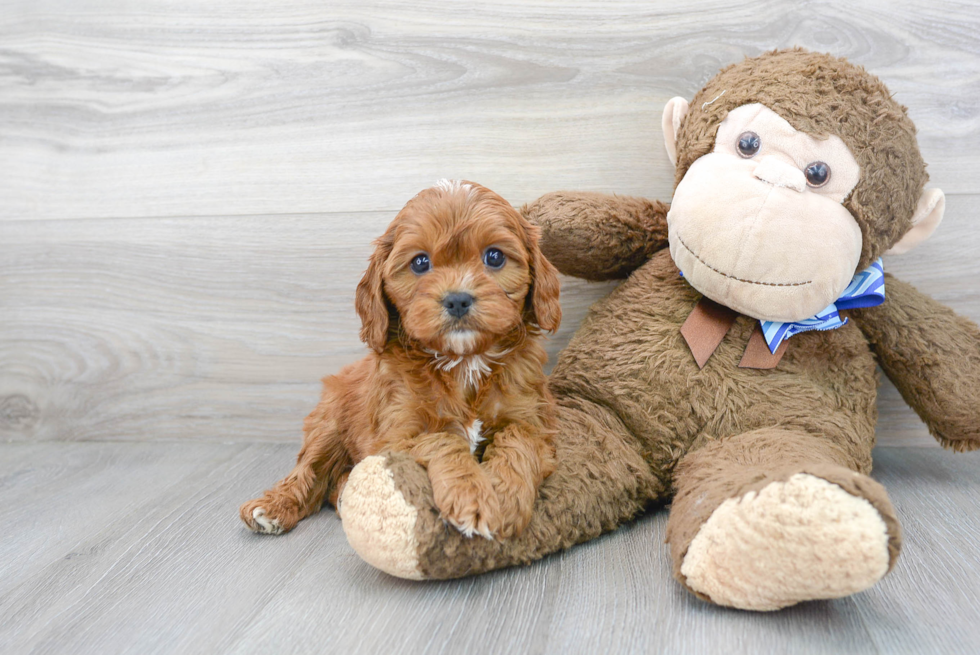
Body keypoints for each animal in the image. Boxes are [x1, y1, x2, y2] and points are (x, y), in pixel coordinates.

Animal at [237, 179, 560, 540]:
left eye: (494, 256)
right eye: (420, 262)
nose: (458, 300)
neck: (463, 363)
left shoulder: (533, 419)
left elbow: (518, 442)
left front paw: (505, 498)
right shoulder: (394, 436)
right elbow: (443, 440)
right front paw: (471, 495)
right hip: (328, 420)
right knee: (310, 470)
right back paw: (273, 506)